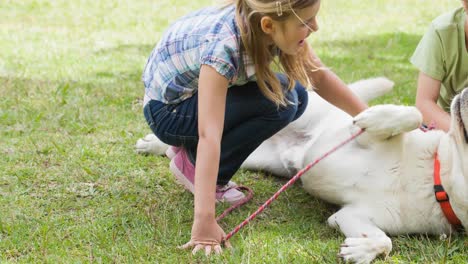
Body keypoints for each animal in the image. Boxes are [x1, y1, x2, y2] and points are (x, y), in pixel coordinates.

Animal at [134, 77, 464, 262]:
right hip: (294, 107)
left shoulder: (350, 215)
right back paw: (153, 144)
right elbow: (412, 113)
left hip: (262, 158)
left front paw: (359, 251)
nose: (466, 93)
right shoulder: (359, 136)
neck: (433, 178)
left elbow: (385, 240)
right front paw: (378, 117)